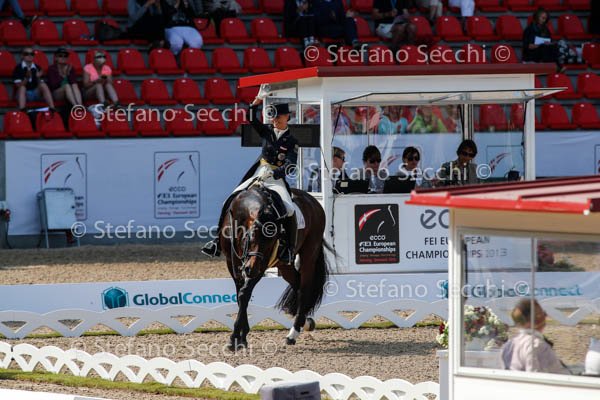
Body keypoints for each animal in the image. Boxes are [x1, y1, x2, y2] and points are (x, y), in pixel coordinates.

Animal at [220, 179, 331, 350]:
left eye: (273, 241)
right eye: (251, 236)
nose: (251, 269)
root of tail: (313, 201)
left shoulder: (262, 264)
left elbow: (244, 294)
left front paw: (235, 338)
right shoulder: (231, 262)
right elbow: (240, 295)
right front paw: (242, 337)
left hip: (308, 256)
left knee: (304, 289)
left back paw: (293, 334)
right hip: (284, 266)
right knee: (297, 285)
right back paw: (305, 321)